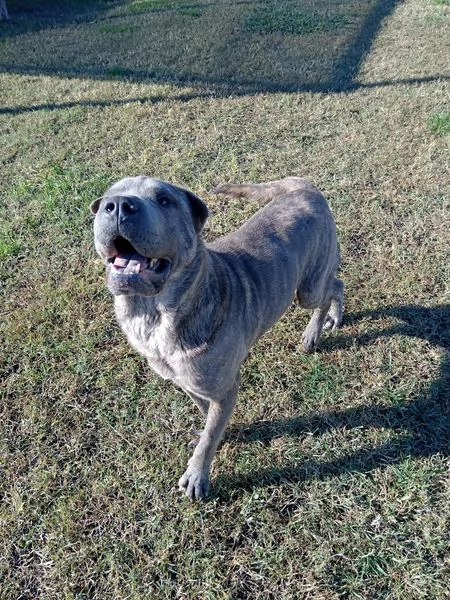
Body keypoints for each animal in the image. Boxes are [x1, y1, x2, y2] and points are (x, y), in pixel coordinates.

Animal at [91, 176, 344, 500]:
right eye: (106, 198)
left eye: (164, 200)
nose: (119, 205)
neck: (156, 315)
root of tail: (303, 187)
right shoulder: (191, 383)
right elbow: (207, 417)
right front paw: (216, 432)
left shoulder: (225, 388)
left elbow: (211, 435)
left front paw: (197, 474)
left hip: (308, 290)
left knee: (333, 286)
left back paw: (318, 328)